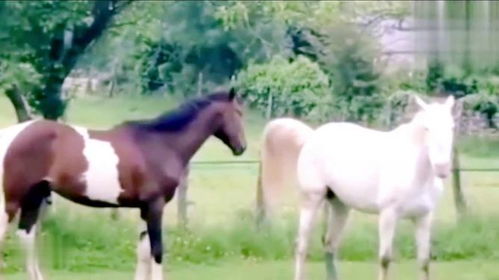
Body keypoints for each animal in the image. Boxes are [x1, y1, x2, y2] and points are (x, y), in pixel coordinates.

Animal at [0, 88, 247, 278]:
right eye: (238, 113)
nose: (241, 147)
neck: (160, 144)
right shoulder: (155, 206)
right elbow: (157, 251)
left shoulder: (144, 209)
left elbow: (143, 252)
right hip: (11, 200)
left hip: (34, 197)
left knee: (27, 237)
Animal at [296, 95, 458, 278]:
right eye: (426, 128)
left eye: (452, 127)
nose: (441, 168)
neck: (416, 174)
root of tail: (314, 135)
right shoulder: (388, 215)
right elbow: (385, 260)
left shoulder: (423, 217)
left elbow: (424, 262)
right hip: (311, 200)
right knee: (302, 247)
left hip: (340, 205)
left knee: (330, 244)